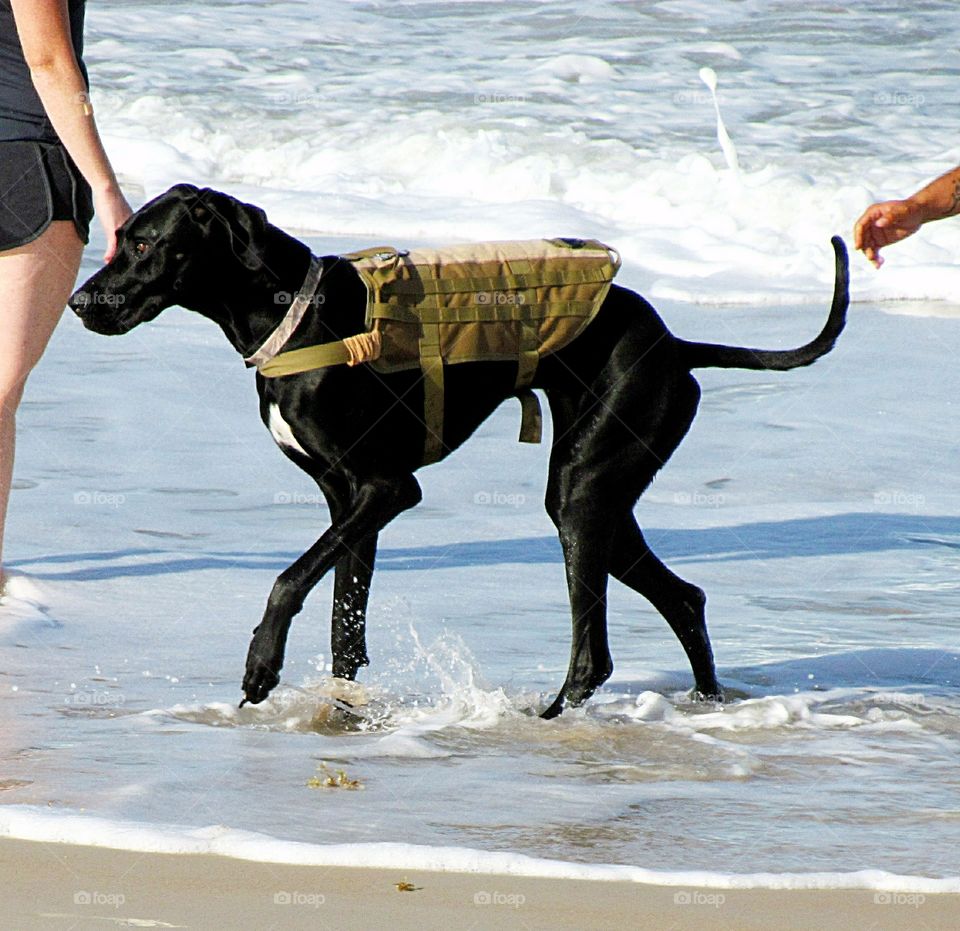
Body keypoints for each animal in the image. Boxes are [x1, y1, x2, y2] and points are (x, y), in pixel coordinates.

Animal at [69, 186, 848, 716]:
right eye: (119, 237)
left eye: (145, 244)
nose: (80, 304)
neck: (294, 314)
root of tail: (674, 343)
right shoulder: (348, 502)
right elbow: (345, 620)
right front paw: (338, 707)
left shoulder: (386, 490)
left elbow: (289, 580)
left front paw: (263, 664)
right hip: (600, 500)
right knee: (684, 597)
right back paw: (707, 703)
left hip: (583, 492)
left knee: (594, 655)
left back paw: (549, 716)